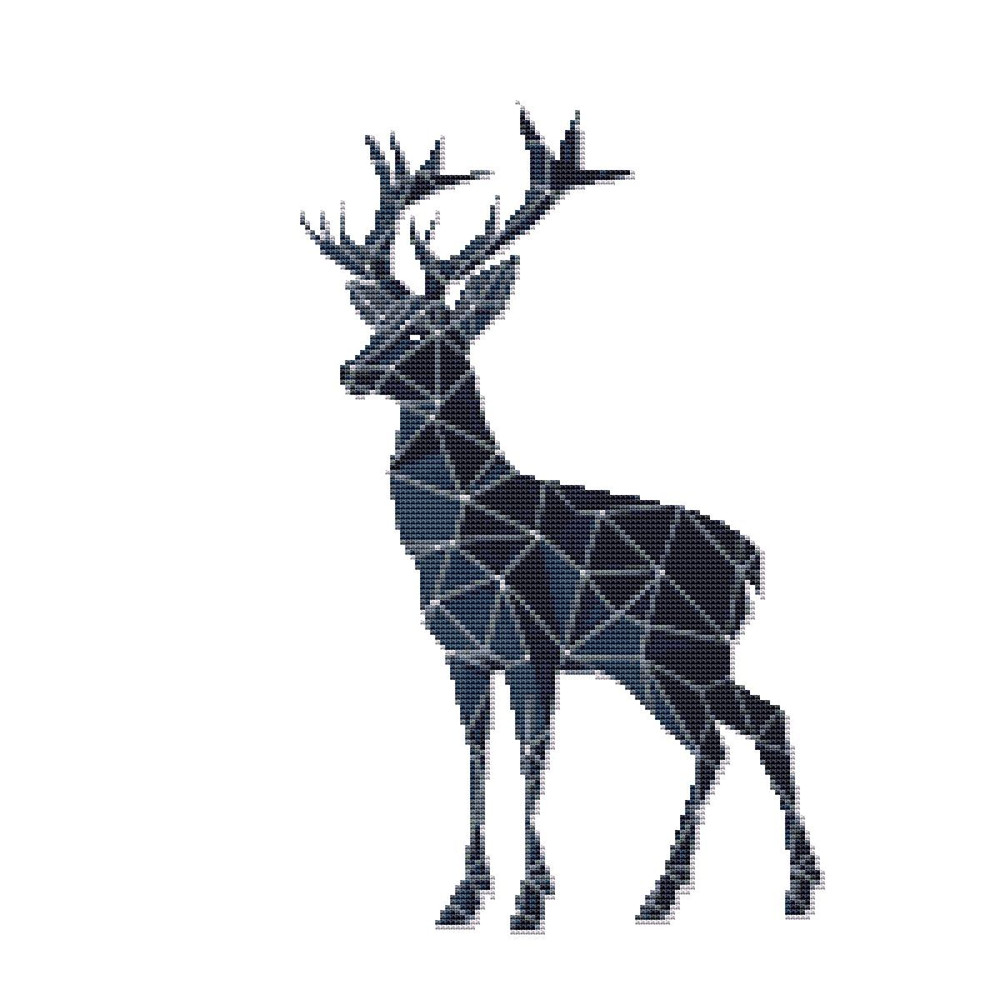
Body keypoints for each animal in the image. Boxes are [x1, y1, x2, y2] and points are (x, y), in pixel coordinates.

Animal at [301, 108, 821, 931]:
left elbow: (532, 755)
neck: (455, 537)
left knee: (720, 741)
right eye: (382, 323)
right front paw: (462, 896)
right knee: (762, 721)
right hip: (661, 662)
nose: (351, 370)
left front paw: (529, 899)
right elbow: (475, 754)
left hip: (679, 653)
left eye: (428, 331)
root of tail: (751, 561)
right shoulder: (464, 653)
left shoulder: (533, 646)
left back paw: (666, 893)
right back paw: (791, 888)